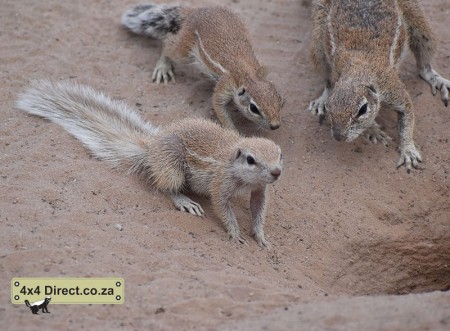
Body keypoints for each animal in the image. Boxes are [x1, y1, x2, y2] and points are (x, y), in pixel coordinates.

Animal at [15, 79, 284, 248]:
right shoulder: (221, 183)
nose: (276, 173)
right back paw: (183, 200)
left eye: (280, 155)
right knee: (165, 186)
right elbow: (223, 208)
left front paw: (261, 236)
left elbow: (258, 210)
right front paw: (236, 233)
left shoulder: (261, 189)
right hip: (172, 165)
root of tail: (151, 147)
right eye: (251, 160)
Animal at [121, 3, 284, 132]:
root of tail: (194, 10)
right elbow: (218, 104)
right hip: (184, 47)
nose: (275, 125)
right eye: (253, 108)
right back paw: (163, 67)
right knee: (169, 44)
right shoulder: (226, 83)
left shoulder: (262, 68)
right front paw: (233, 132)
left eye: (280, 100)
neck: (250, 75)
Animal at [308, 0, 450, 171]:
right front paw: (374, 130)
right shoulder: (336, 74)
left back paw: (436, 79)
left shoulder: (391, 87)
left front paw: (408, 150)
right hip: (318, 33)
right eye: (330, 107)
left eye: (363, 109)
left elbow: (407, 114)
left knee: (424, 59)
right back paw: (321, 99)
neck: (358, 70)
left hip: (417, 20)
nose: (338, 136)